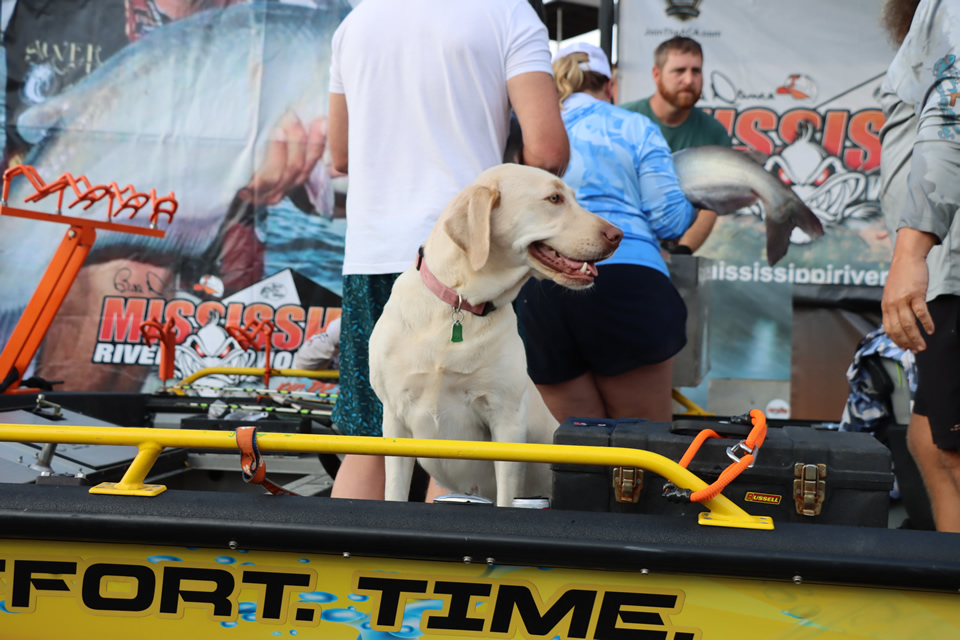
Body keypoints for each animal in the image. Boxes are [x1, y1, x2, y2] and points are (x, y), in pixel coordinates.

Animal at [368, 164, 624, 504]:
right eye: (554, 198)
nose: (618, 235)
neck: (459, 305)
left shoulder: (506, 419)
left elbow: (507, 496)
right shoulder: (395, 419)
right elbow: (394, 491)